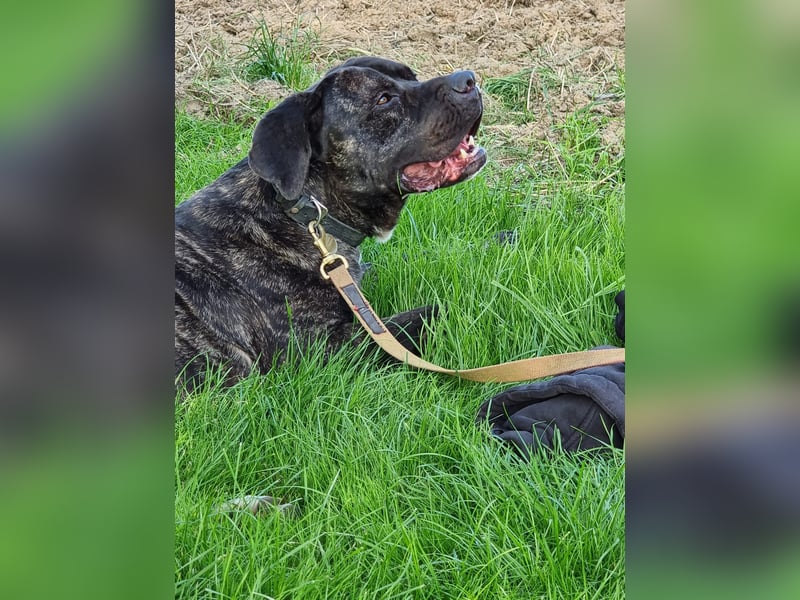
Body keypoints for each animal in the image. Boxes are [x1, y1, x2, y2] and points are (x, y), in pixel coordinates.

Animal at [175, 56, 487, 389]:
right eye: (383, 99)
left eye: (411, 77)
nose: (468, 79)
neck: (305, 213)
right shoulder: (323, 351)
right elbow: (430, 312)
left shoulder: (354, 277)